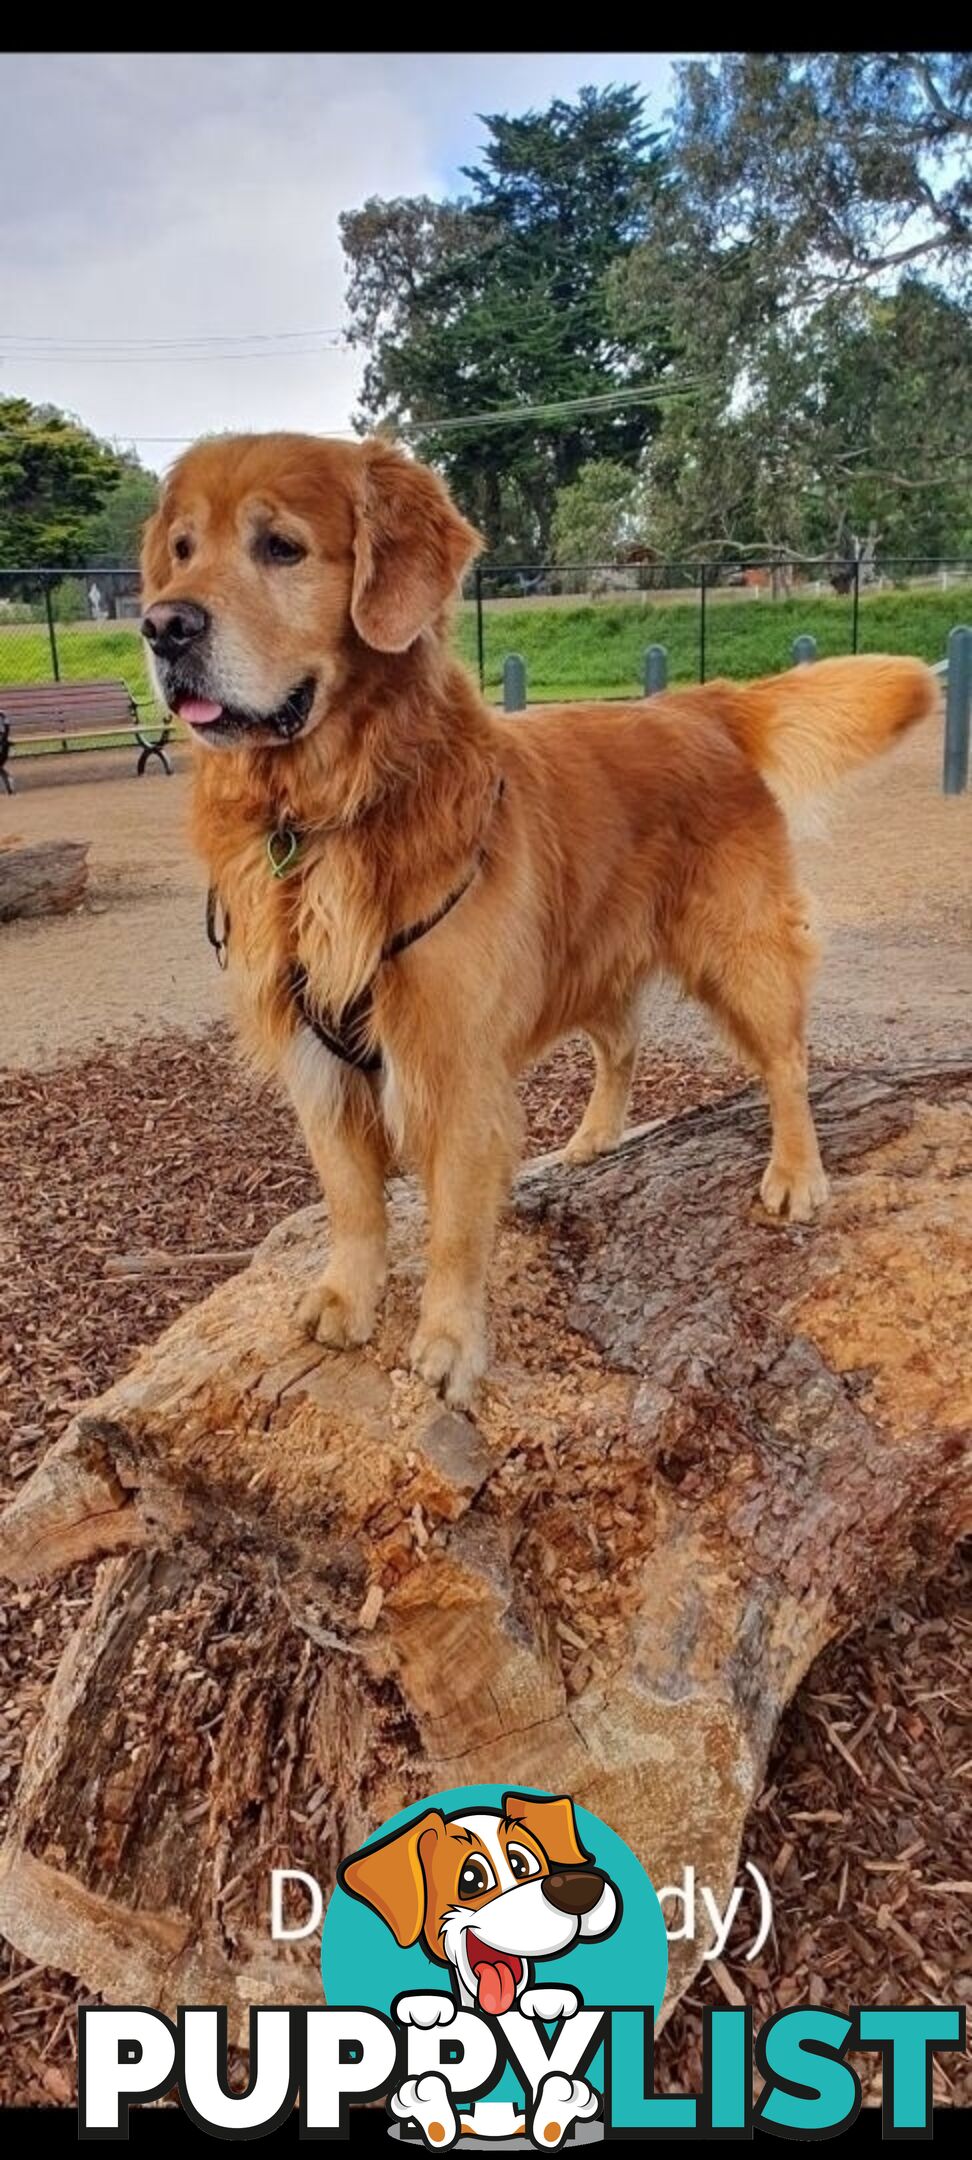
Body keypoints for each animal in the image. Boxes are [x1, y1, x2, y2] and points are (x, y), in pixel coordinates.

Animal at [140, 438, 937, 1408]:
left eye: (281, 547)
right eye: (182, 550)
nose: (162, 627)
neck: (330, 809)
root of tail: (697, 702)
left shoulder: (457, 1068)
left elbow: (453, 1227)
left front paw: (449, 1343)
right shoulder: (316, 1059)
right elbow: (351, 1200)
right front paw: (348, 1296)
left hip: (737, 948)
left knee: (786, 1060)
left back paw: (796, 1173)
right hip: (584, 951)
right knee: (622, 1043)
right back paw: (591, 1142)